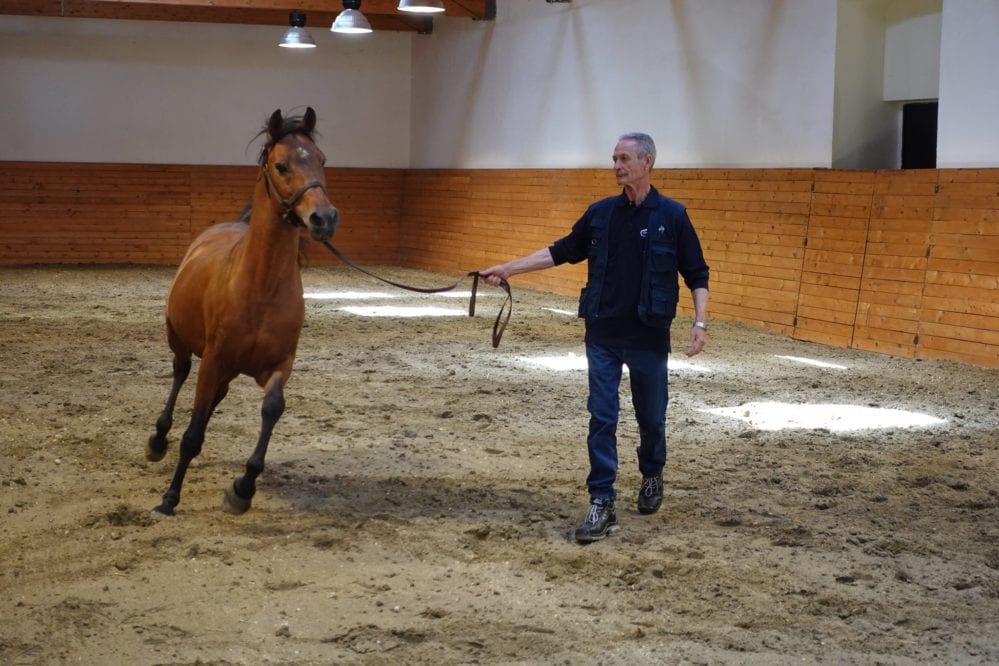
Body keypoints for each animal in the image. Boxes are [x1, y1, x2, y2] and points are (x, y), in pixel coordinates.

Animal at [146, 107, 339, 517]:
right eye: (281, 165)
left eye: (322, 159)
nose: (325, 218)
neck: (261, 289)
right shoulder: (213, 359)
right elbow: (192, 433)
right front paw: (169, 499)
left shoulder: (279, 364)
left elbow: (272, 408)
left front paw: (242, 488)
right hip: (181, 342)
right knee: (180, 375)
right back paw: (157, 440)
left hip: (228, 369)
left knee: (215, 396)